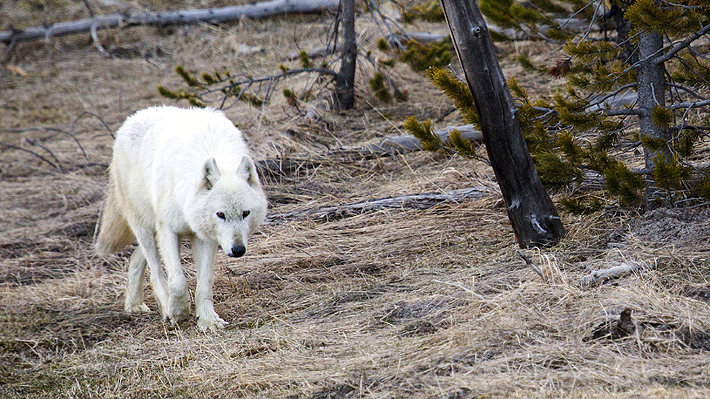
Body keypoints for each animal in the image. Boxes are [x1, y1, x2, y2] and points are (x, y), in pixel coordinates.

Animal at [96, 104, 268, 332]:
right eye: (221, 215)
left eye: (245, 213)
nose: (238, 250)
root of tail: (133, 117)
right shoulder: (168, 230)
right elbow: (177, 281)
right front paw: (178, 312)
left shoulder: (205, 236)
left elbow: (204, 283)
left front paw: (208, 320)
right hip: (146, 227)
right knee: (156, 272)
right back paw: (162, 308)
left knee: (136, 258)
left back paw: (134, 304)